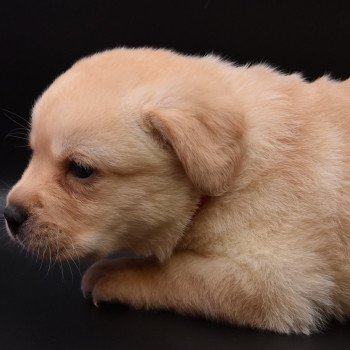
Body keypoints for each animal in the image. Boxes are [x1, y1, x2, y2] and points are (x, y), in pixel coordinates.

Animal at [3, 47, 350, 334]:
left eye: (81, 170)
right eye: (33, 153)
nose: (10, 216)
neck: (239, 166)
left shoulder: (272, 281)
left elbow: (178, 272)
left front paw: (112, 275)